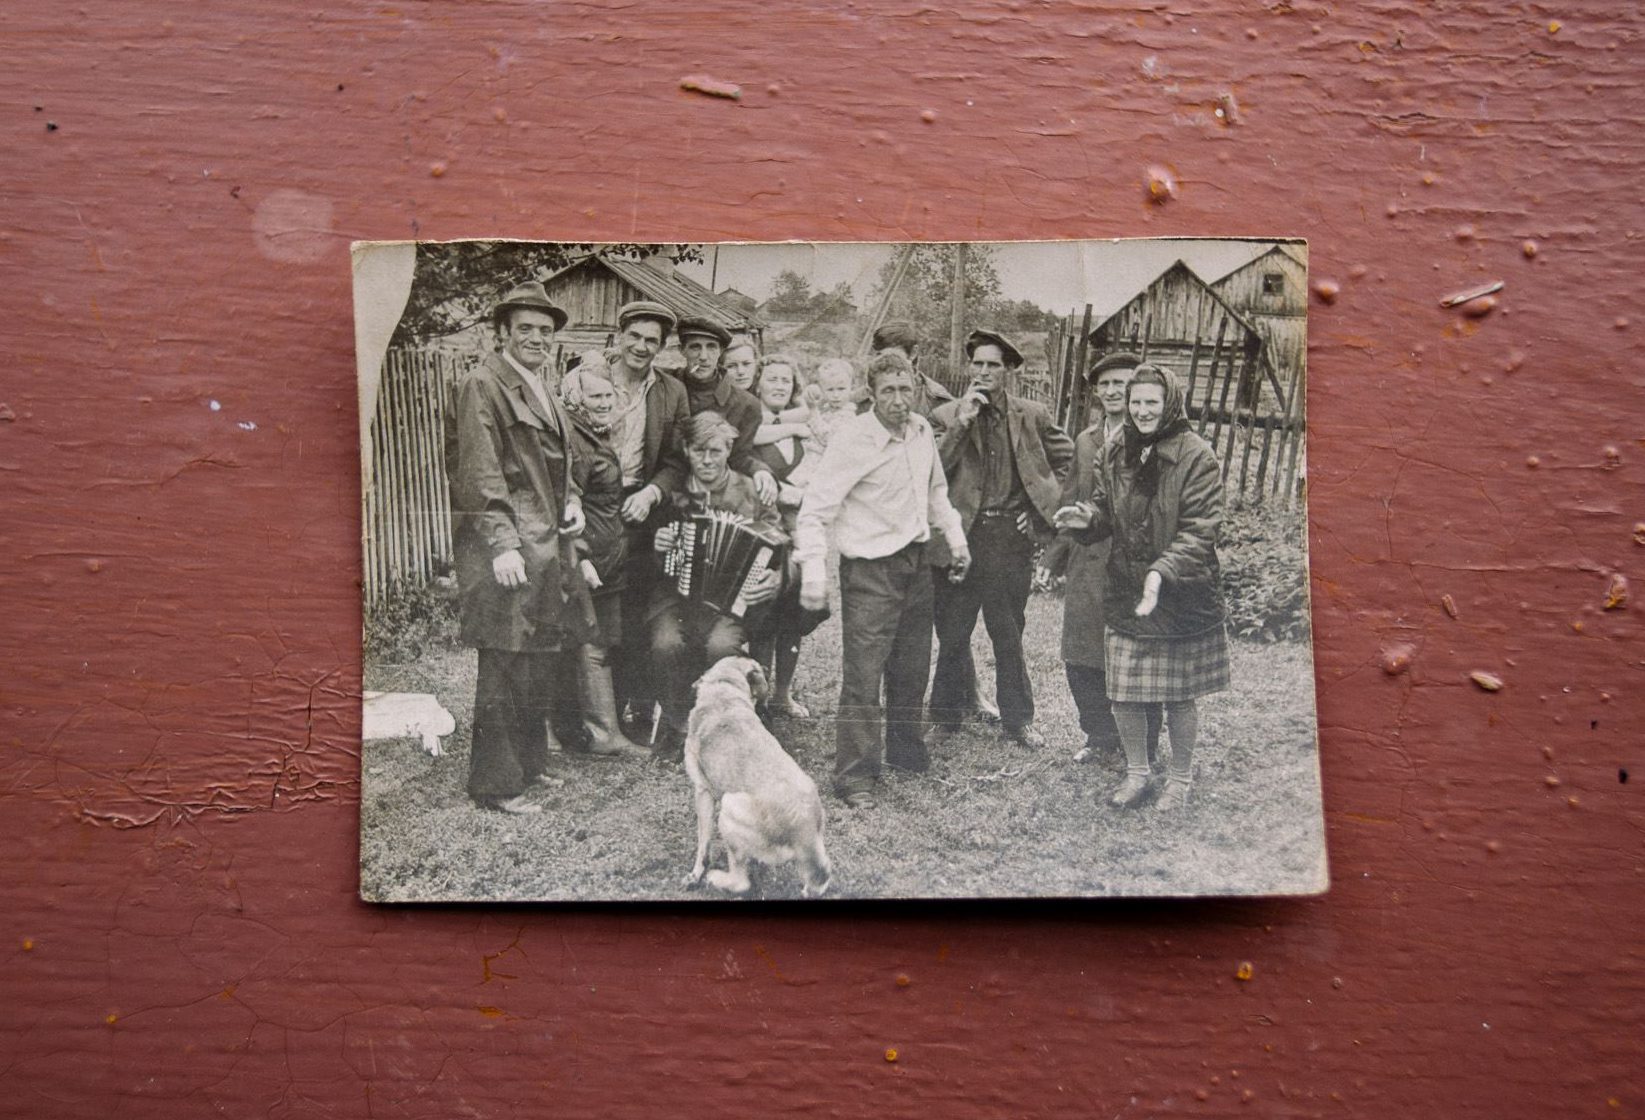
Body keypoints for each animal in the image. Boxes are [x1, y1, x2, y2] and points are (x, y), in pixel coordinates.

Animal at [681, 656, 833, 897]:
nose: (766, 667)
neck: (724, 690)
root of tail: (804, 827)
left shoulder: (703, 792)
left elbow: (703, 846)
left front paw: (696, 875)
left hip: (729, 806)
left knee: (741, 882)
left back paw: (717, 878)